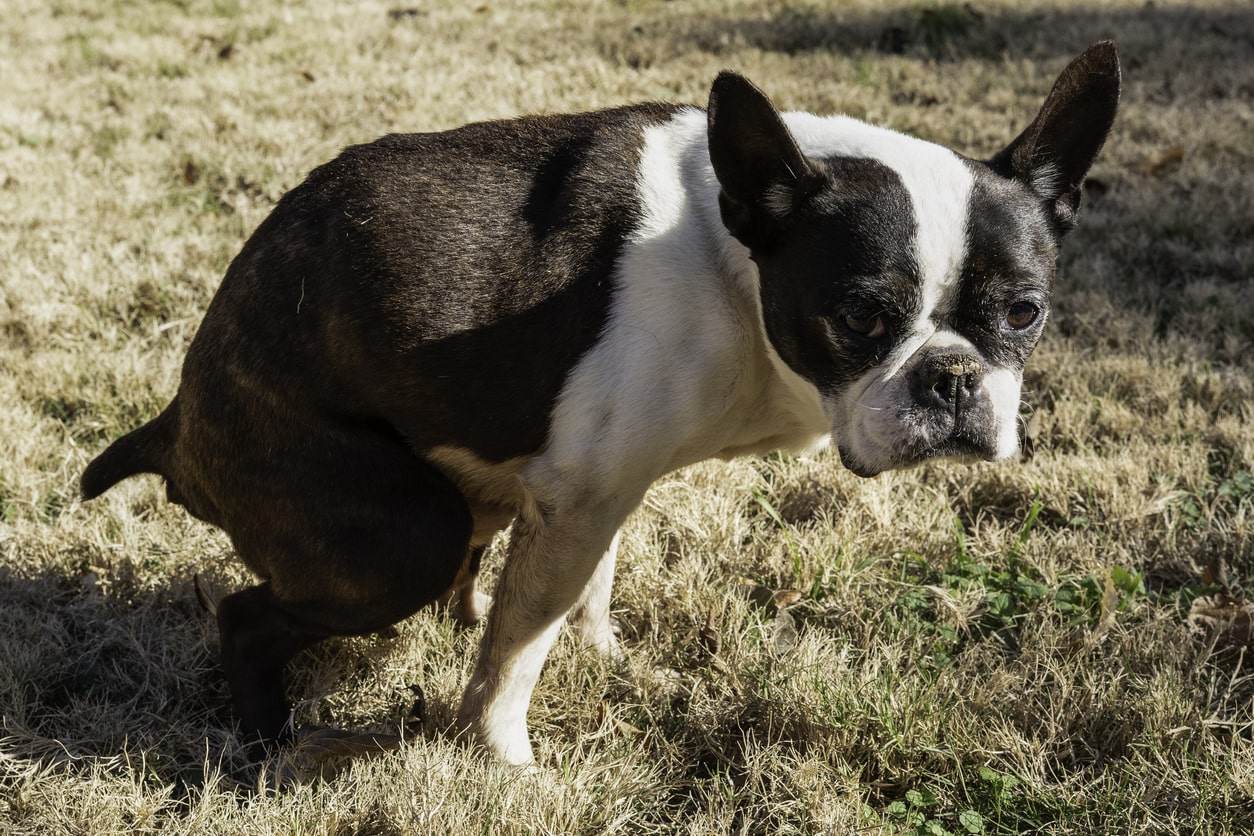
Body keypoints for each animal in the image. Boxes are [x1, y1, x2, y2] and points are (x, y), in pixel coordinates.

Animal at [80, 44, 1118, 767]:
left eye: (1023, 314)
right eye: (860, 316)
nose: (952, 378)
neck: (735, 262)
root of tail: (178, 417)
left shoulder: (599, 488)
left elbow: (581, 591)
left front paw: (603, 654)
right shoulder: (582, 491)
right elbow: (514, 660)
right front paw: (501, 764)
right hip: (386, 535)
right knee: (257, 614)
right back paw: (269, 748)